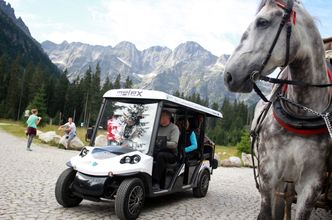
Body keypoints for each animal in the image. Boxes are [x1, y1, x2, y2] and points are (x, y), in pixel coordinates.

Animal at [224, 0, 330, 219]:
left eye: (262, 22)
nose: (228, 76)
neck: (301, 115)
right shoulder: (268, 175)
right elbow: (266, 213)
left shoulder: (312, 183)